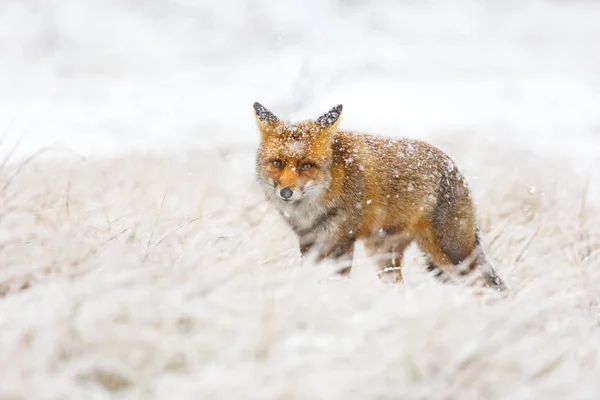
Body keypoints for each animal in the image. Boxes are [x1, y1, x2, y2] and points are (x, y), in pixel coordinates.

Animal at [253, 103, 506, 290]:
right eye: (277, 163)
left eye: (306, 166)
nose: (286, 192)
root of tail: (455, 168)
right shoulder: (308, 241)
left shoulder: (342, 242)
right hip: (384, 255)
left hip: (452, 254)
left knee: (485, 285)